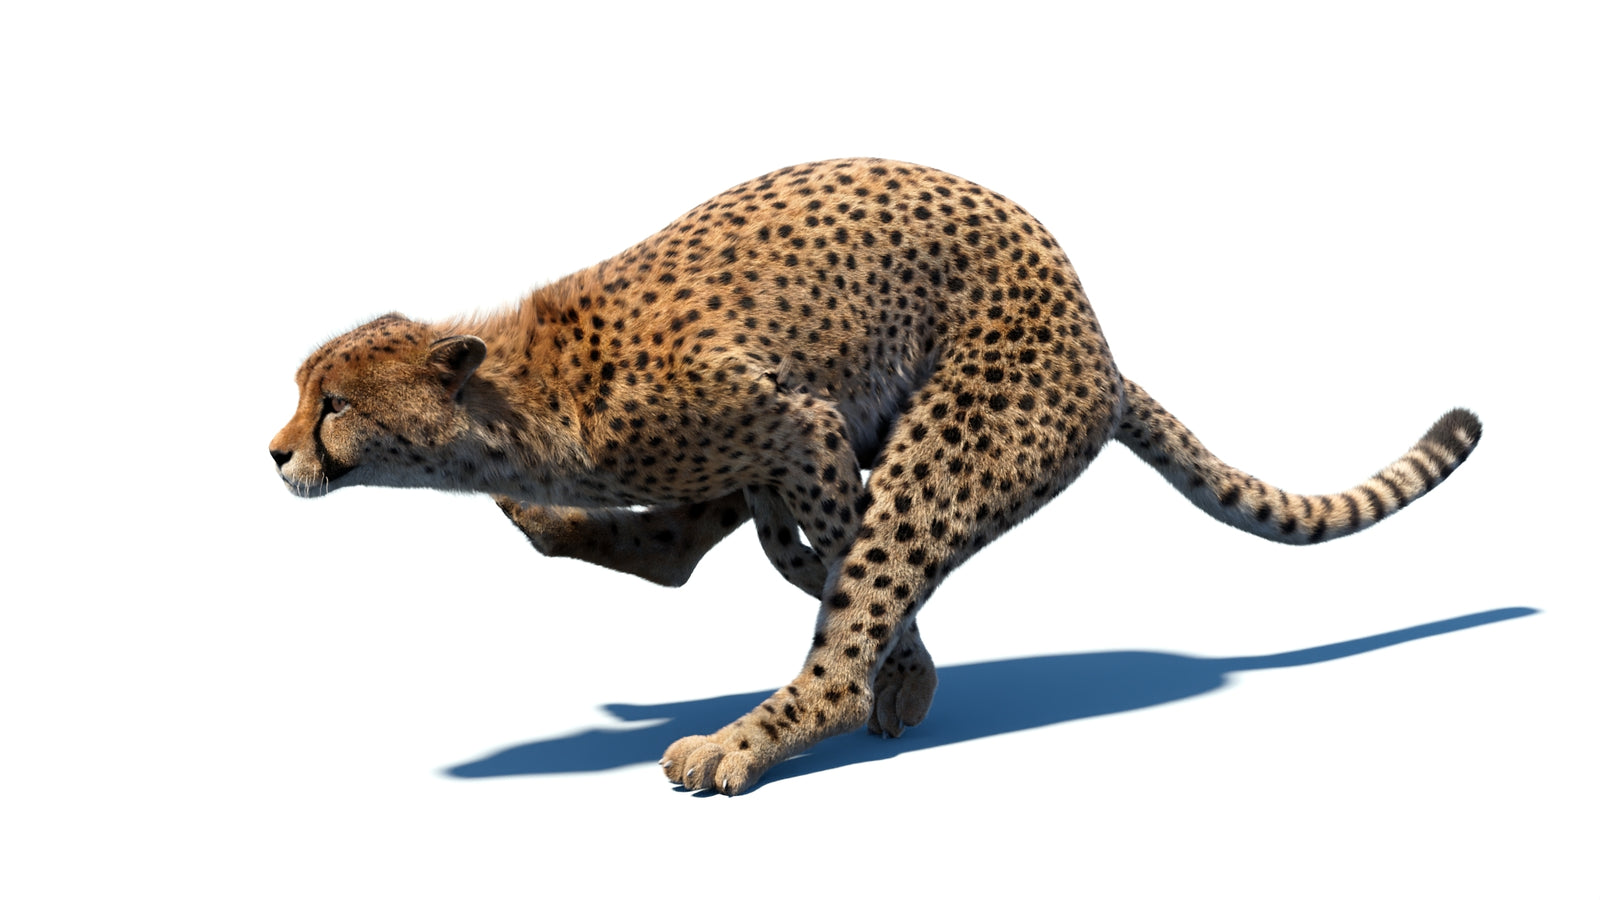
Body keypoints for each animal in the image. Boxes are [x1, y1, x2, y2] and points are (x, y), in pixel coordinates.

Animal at [270, 158, 1482, 795]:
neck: (521, 397)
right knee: (704, 550)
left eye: (333, 405)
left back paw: (750, 737)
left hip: (957, 436)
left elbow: (854, 564)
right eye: (304, 395)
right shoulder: (781, 440)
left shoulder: (799, 423)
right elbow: (794, 545)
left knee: (857, 594)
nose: (276, 451)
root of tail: (1099, 346)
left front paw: (906, 666)